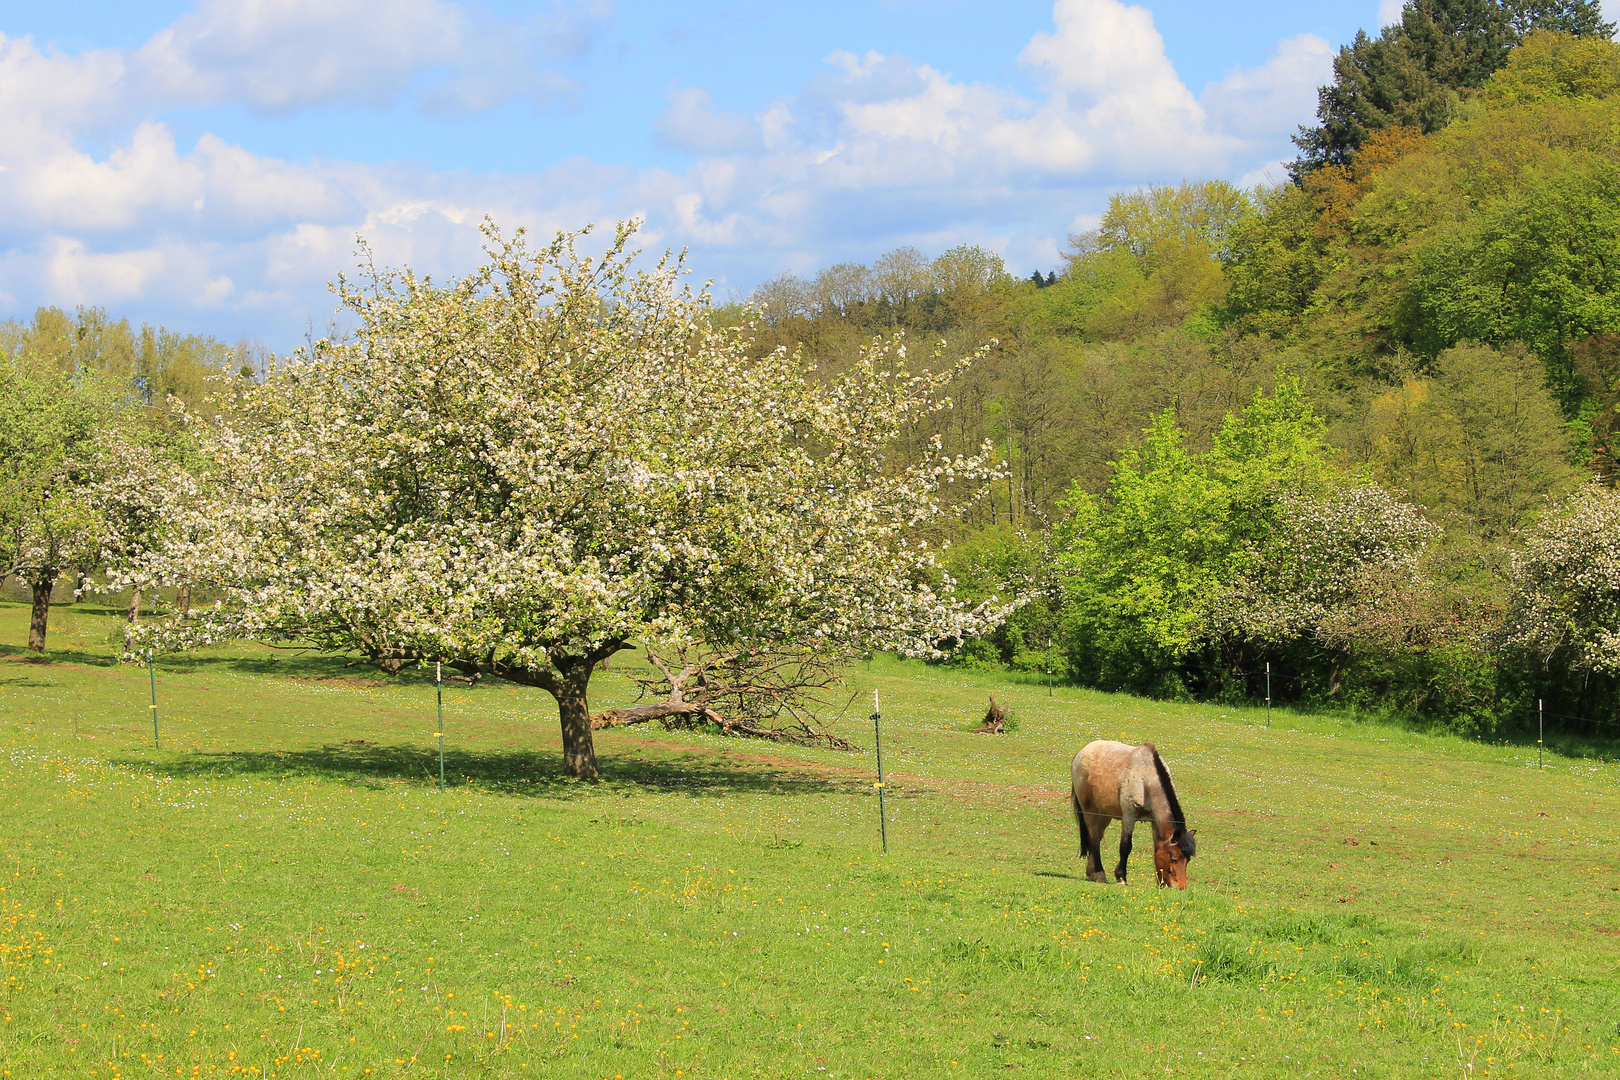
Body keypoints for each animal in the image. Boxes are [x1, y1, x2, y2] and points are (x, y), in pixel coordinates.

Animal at [1069, 744, 1198, 887]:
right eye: (1174, 858)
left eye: (1187, 860)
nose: (1180, 888)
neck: (1146, 778)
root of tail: (1082, 751)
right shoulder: (1129, 817)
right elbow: (1125, 846)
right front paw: (1121, 877)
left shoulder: (1154, 820)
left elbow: (1156, 847)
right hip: (1089, 810)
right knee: (1093, 838)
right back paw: (1099, 874)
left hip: (1104, 814)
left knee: (1097, 838)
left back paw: (1092, 873)